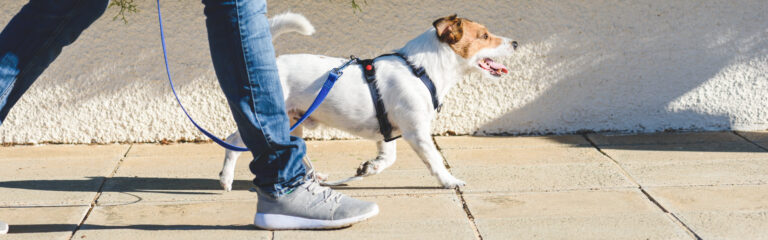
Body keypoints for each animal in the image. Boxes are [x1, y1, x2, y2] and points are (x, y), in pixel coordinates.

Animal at [219, 13, 520, 190]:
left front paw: (370, 168)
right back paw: (226, 179)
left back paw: (315, 177)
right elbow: (435, 160)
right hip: (270, 120)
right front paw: (449, 181)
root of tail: (272, 65)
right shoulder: (417, 132)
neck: (421, 69)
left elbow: (388, 158)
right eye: (484, 36)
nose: (517, 43)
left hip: (294, 122)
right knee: (233, 142)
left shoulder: (389, 132)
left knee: (296, 150)